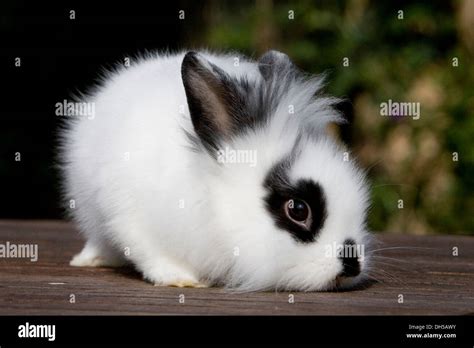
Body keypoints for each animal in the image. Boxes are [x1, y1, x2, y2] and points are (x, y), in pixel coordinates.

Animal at [58, 49, 370, 290]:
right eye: (298, 209)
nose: (352, 265)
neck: (214, 205)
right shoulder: (130, 217)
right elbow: (154, 254)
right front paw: (182, 279)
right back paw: (90, 260)